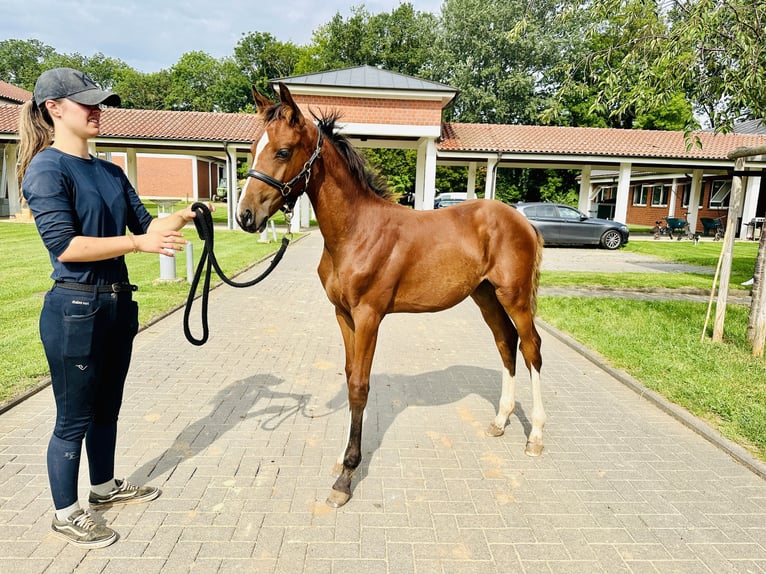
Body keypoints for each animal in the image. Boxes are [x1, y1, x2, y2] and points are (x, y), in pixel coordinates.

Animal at [237, 83, 546, 508]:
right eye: (252, 148)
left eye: (283, 151)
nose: (245, 216)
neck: (356, 231)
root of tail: (523, 220)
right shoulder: (343, 315)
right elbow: (349, 373)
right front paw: (341, 459)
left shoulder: (369, 315)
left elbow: (359, 386)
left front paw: (346, 476)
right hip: (485, 296)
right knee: (506, 342)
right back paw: (500, 420)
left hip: (513, 295)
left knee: (531, 348)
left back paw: (535, 437)